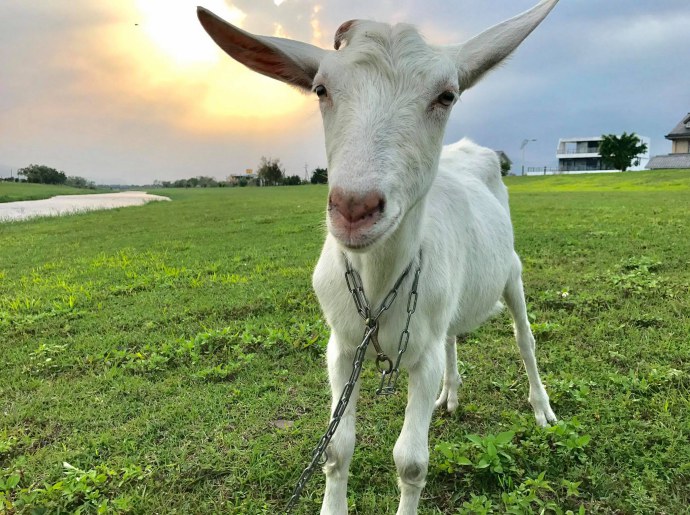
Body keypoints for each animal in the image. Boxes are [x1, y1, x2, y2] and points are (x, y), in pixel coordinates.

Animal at [196, 2, 556, 512]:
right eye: (321, 89)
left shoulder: (422, 357)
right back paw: (451, 396)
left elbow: (411, 461)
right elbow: (336, 448)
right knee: (453, 336)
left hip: (512, 271)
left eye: (446, 95)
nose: (354, 208)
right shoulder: (343, 345)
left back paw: (542, 407)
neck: (380, 284)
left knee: (525, 339)